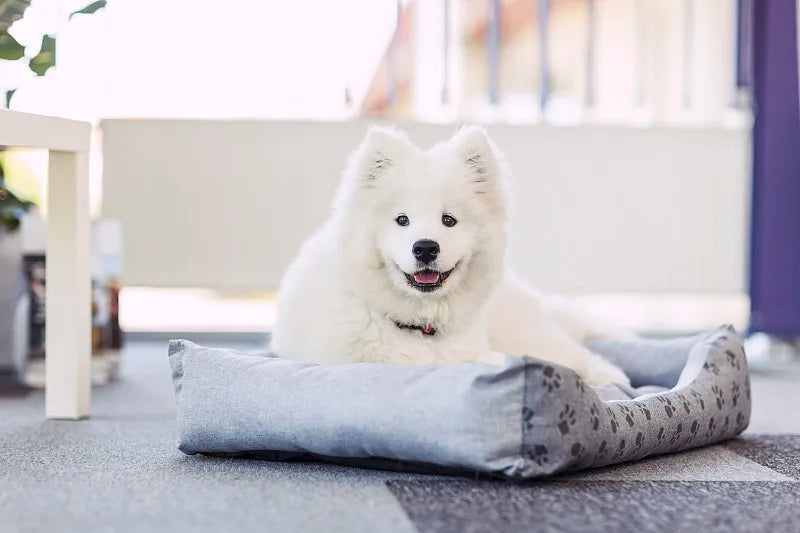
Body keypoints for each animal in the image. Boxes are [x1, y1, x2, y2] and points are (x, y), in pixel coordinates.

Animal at [274, 127, 632, 384]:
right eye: (402, 219)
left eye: (449, 220)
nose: (425, 247)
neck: (419, 328)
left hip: (524, 332)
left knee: (573, 356)